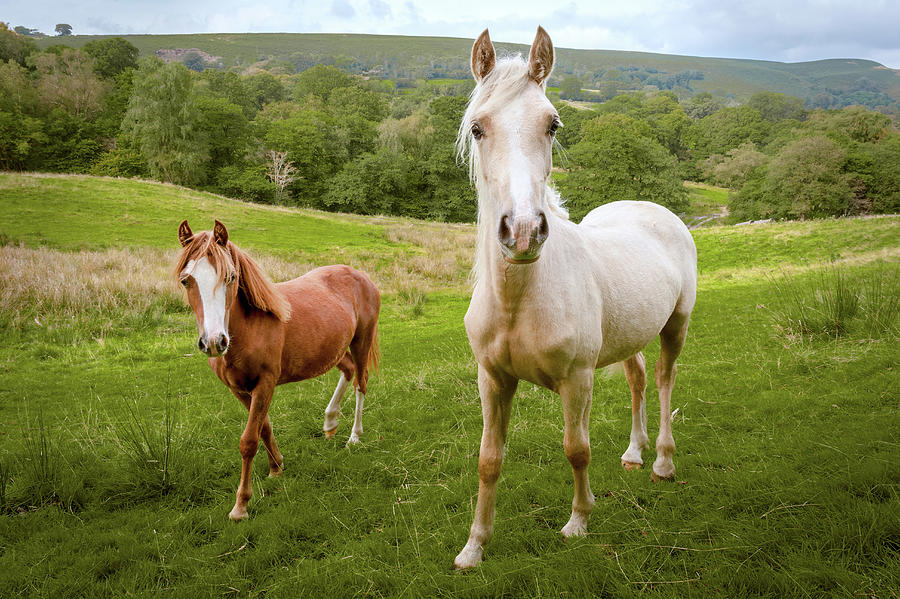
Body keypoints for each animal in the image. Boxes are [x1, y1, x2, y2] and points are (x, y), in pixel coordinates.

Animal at [175, 220, 380, 520]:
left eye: (231, 277)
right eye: (185, 280)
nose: (213, 342)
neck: (249, 328)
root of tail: (360, 275)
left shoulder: (265, 384)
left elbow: (249, 440)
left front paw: (241, 505)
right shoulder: (240, 390)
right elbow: (264, 428)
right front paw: (276, 469)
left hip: (361, 341)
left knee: (361, 383)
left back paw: (354, 437)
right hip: (334, 349)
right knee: (349, 370)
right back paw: (330, 422)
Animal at [454, 29, 700, 572]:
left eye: (553, 123)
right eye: (478, 128)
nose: (523, 232)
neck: (521, 299)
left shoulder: (577, 379)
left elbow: (576, 449)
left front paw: (579, 522)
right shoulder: (492, 379)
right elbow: (488, 459)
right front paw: (474, 547)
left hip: (675, 325)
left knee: (665, 380)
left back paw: (662, 461)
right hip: (629, 336)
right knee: (638, 379)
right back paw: (634, 453)